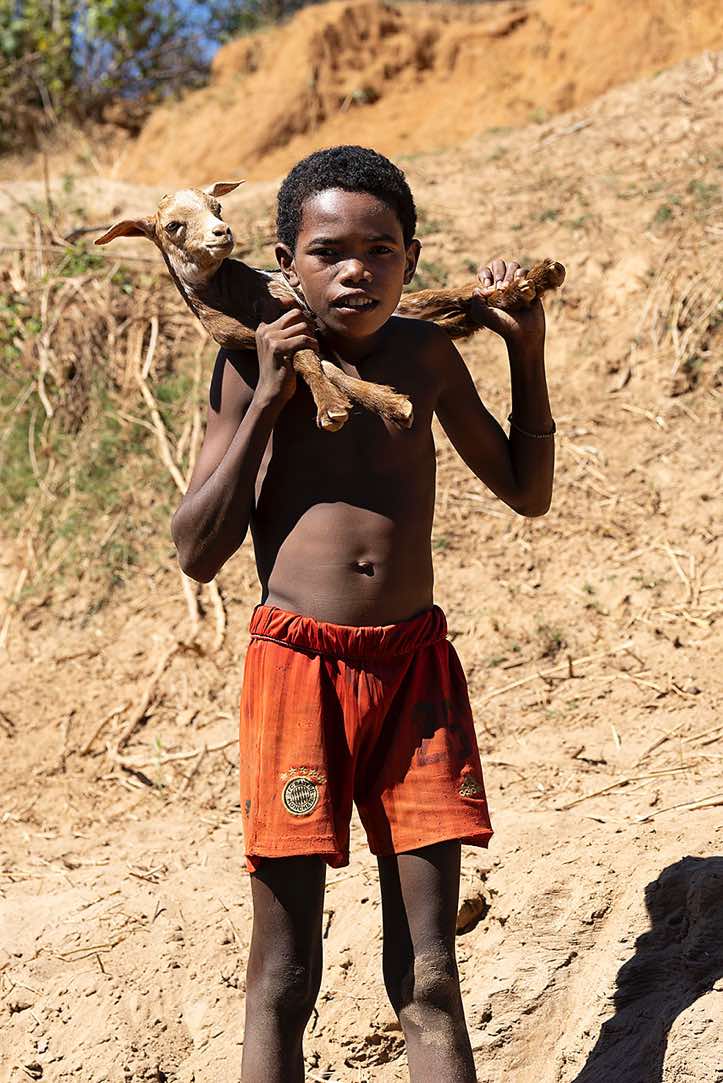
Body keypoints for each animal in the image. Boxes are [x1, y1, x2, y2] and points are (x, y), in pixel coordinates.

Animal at [96, 182, 565, 431]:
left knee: (448, 294)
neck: (230, 297)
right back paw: (510, 298)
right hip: (403, 314)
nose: (221, 233)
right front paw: (379, 403)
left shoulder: (288, 309)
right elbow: (321, 365)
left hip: (404, 303)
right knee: (447, 314)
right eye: (174, 226)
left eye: (217, 206)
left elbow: (310, 362)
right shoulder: (260, 335)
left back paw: (532, 280)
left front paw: (340, 405)